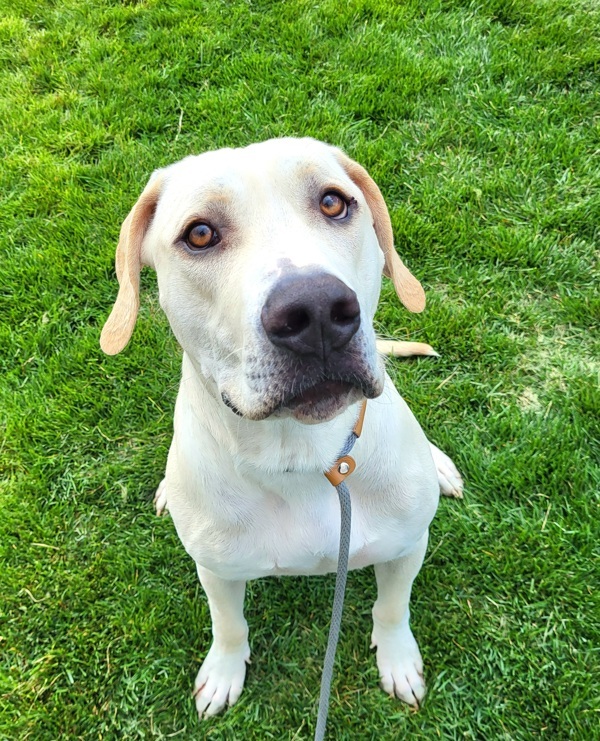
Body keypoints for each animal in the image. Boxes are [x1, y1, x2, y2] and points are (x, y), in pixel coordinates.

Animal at [101, 136, 462, 720]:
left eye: (334, 202)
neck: (303, 457)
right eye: (199, 234)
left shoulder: (407, 547)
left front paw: (398, 659)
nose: (316, 310)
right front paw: (224, 672)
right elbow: (228, 625)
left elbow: (392, 608)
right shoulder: (218, 572)